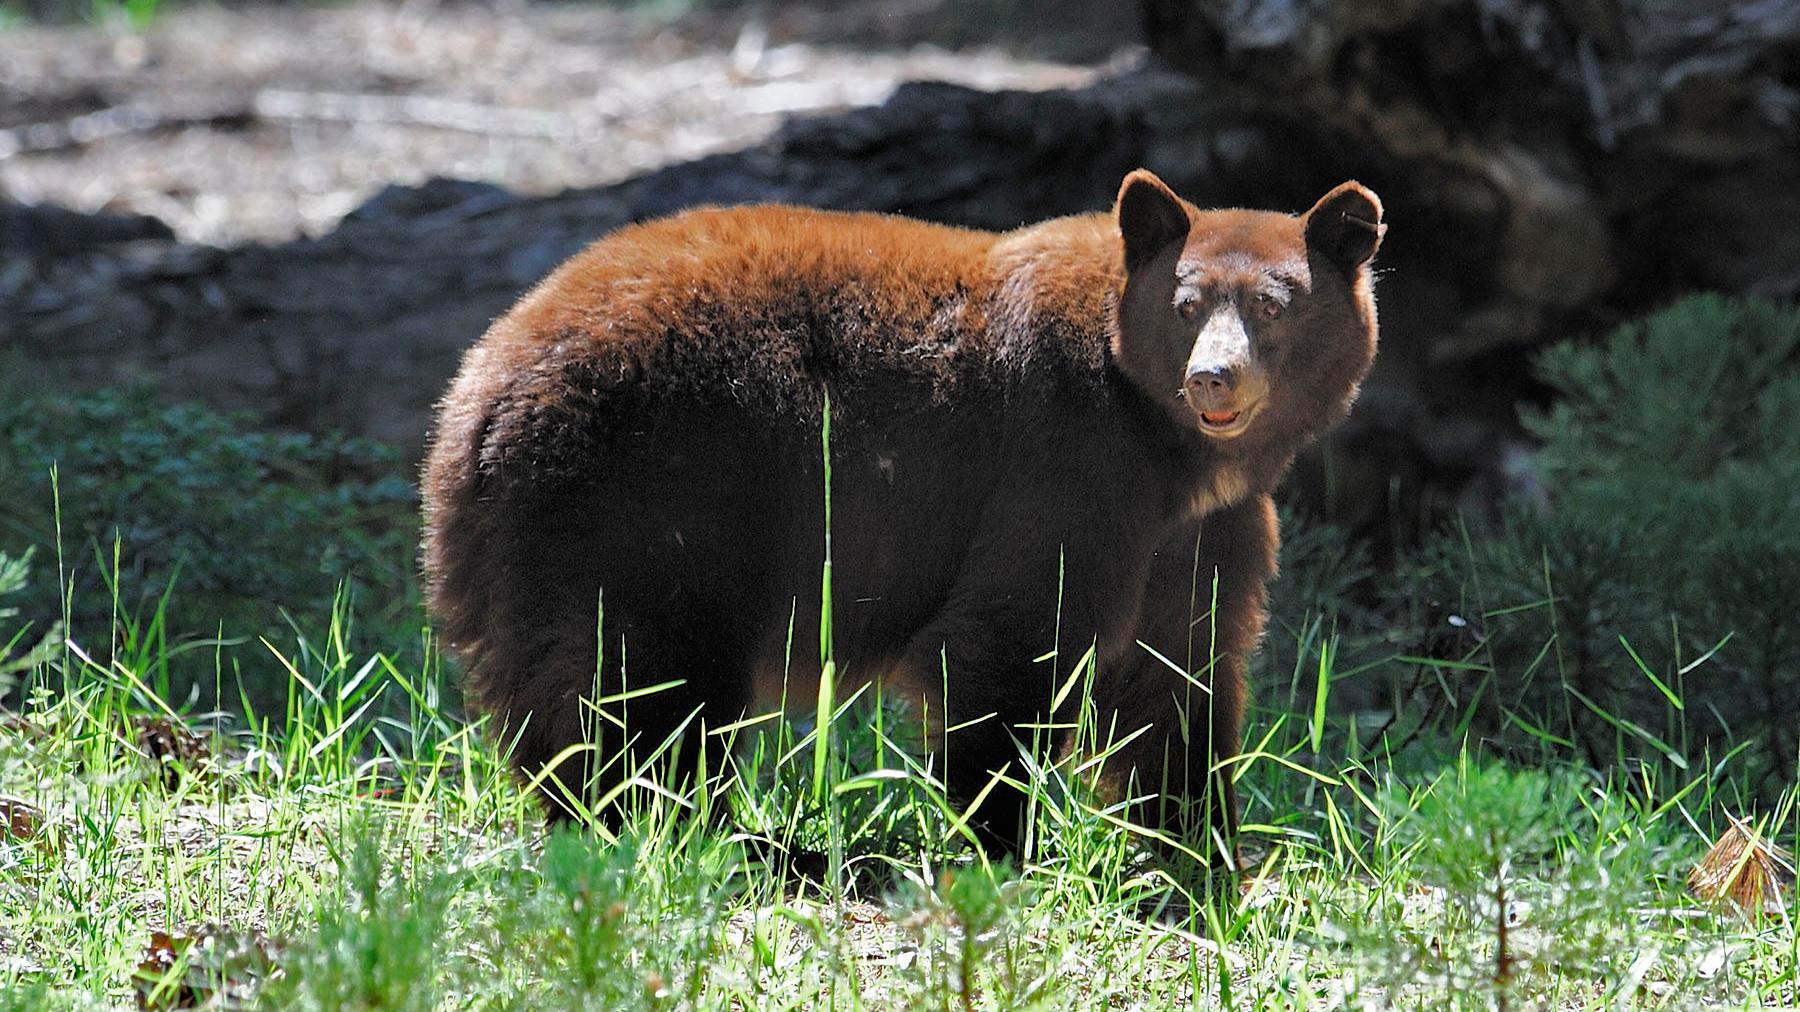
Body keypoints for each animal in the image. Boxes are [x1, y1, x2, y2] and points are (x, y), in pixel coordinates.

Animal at [421, 169, 1383, 865]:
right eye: (1186, 308)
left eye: (1272, 306)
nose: (1213, 379)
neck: (1169, 450)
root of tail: (474, 393)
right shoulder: (1068, 468)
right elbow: (1010, 643)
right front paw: (1001, 844)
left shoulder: (1200, 529)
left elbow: (1179, 674)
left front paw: (1209, 852)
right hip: (653, 497)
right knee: (641, 687)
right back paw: (704, 835)